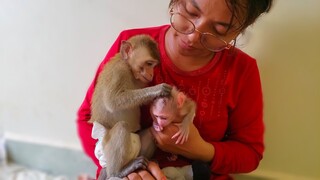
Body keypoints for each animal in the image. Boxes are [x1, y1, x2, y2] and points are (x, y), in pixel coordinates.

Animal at [89, 34, 171, 179]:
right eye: (149, 63)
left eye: (153, 65)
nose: (151, 74)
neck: (129, 67)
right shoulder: (119, 71)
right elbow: (112, 101)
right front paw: (158, 89)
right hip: (104, 146)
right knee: (122, 127)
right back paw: (119, 171)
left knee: (151, 133)